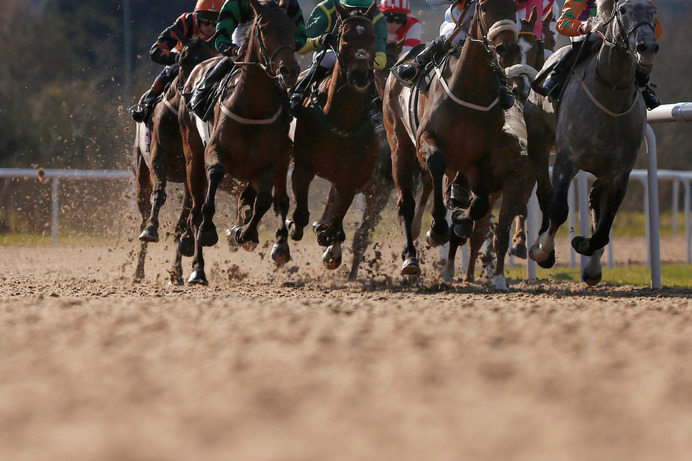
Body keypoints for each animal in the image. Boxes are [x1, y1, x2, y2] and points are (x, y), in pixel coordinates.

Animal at [133, 37, 214, 284]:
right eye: (184, 58)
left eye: (208, 60)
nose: (193, 92)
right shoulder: (158, 156)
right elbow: (159, 194)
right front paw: (151, 230)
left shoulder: (193, 168)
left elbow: (187, 219)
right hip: (141, 171)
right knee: (143, 211)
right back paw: (138, 271)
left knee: (184, 220)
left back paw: (177, 271)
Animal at [180, 0, 298, 284]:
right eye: (264, 28)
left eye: (291, 27)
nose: (289, 71)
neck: (252, 108)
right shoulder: (214, 153)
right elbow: (213, 184)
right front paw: (209, 230)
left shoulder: (268, 164)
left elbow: (263, 202)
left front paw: (244, 233)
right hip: (192, 156)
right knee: (195, 210)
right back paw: (198, 269)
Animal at [290, 0, 382, 270]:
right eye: (345, 38)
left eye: (372, 37)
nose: (360, 75)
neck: (343, 119)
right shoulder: (303, 165)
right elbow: (299, 214)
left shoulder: (350, 177)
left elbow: (335, 218)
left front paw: (328, 241)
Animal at [384, 0, 520, 274]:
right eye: (484, 7)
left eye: (513, 6)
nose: (507, 48)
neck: (470, 87)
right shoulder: (426, 139)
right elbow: (436, 164)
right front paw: (437, 228)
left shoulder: (481, 155)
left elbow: (479, 205)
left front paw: (458, 217)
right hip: (399, 144)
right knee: (406, 202)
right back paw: (410, 257)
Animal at [528, 0, 664, 284]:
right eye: (622, 10)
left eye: (652, 10)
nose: (646, 47)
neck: (611, 93)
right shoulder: (566, 159)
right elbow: (559, 208)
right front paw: (542, 250)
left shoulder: (619, 173)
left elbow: (604, 226)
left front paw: (583, 247)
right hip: (537, 140)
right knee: (545, 192)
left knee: (593, 199)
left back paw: (592, 264)